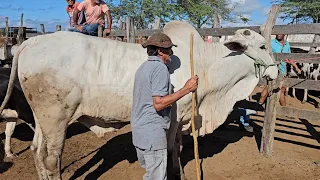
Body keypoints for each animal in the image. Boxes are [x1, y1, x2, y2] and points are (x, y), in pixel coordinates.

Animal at [0, 20, 278, 179]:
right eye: (263, 46)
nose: (277, 71)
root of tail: (29, 43)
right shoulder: (173, 116)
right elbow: (169, 149)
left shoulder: (183, 117)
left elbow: (177, 149)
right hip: (57, 118)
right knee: (51, 158)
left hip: (42, 119)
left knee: (37, 151)